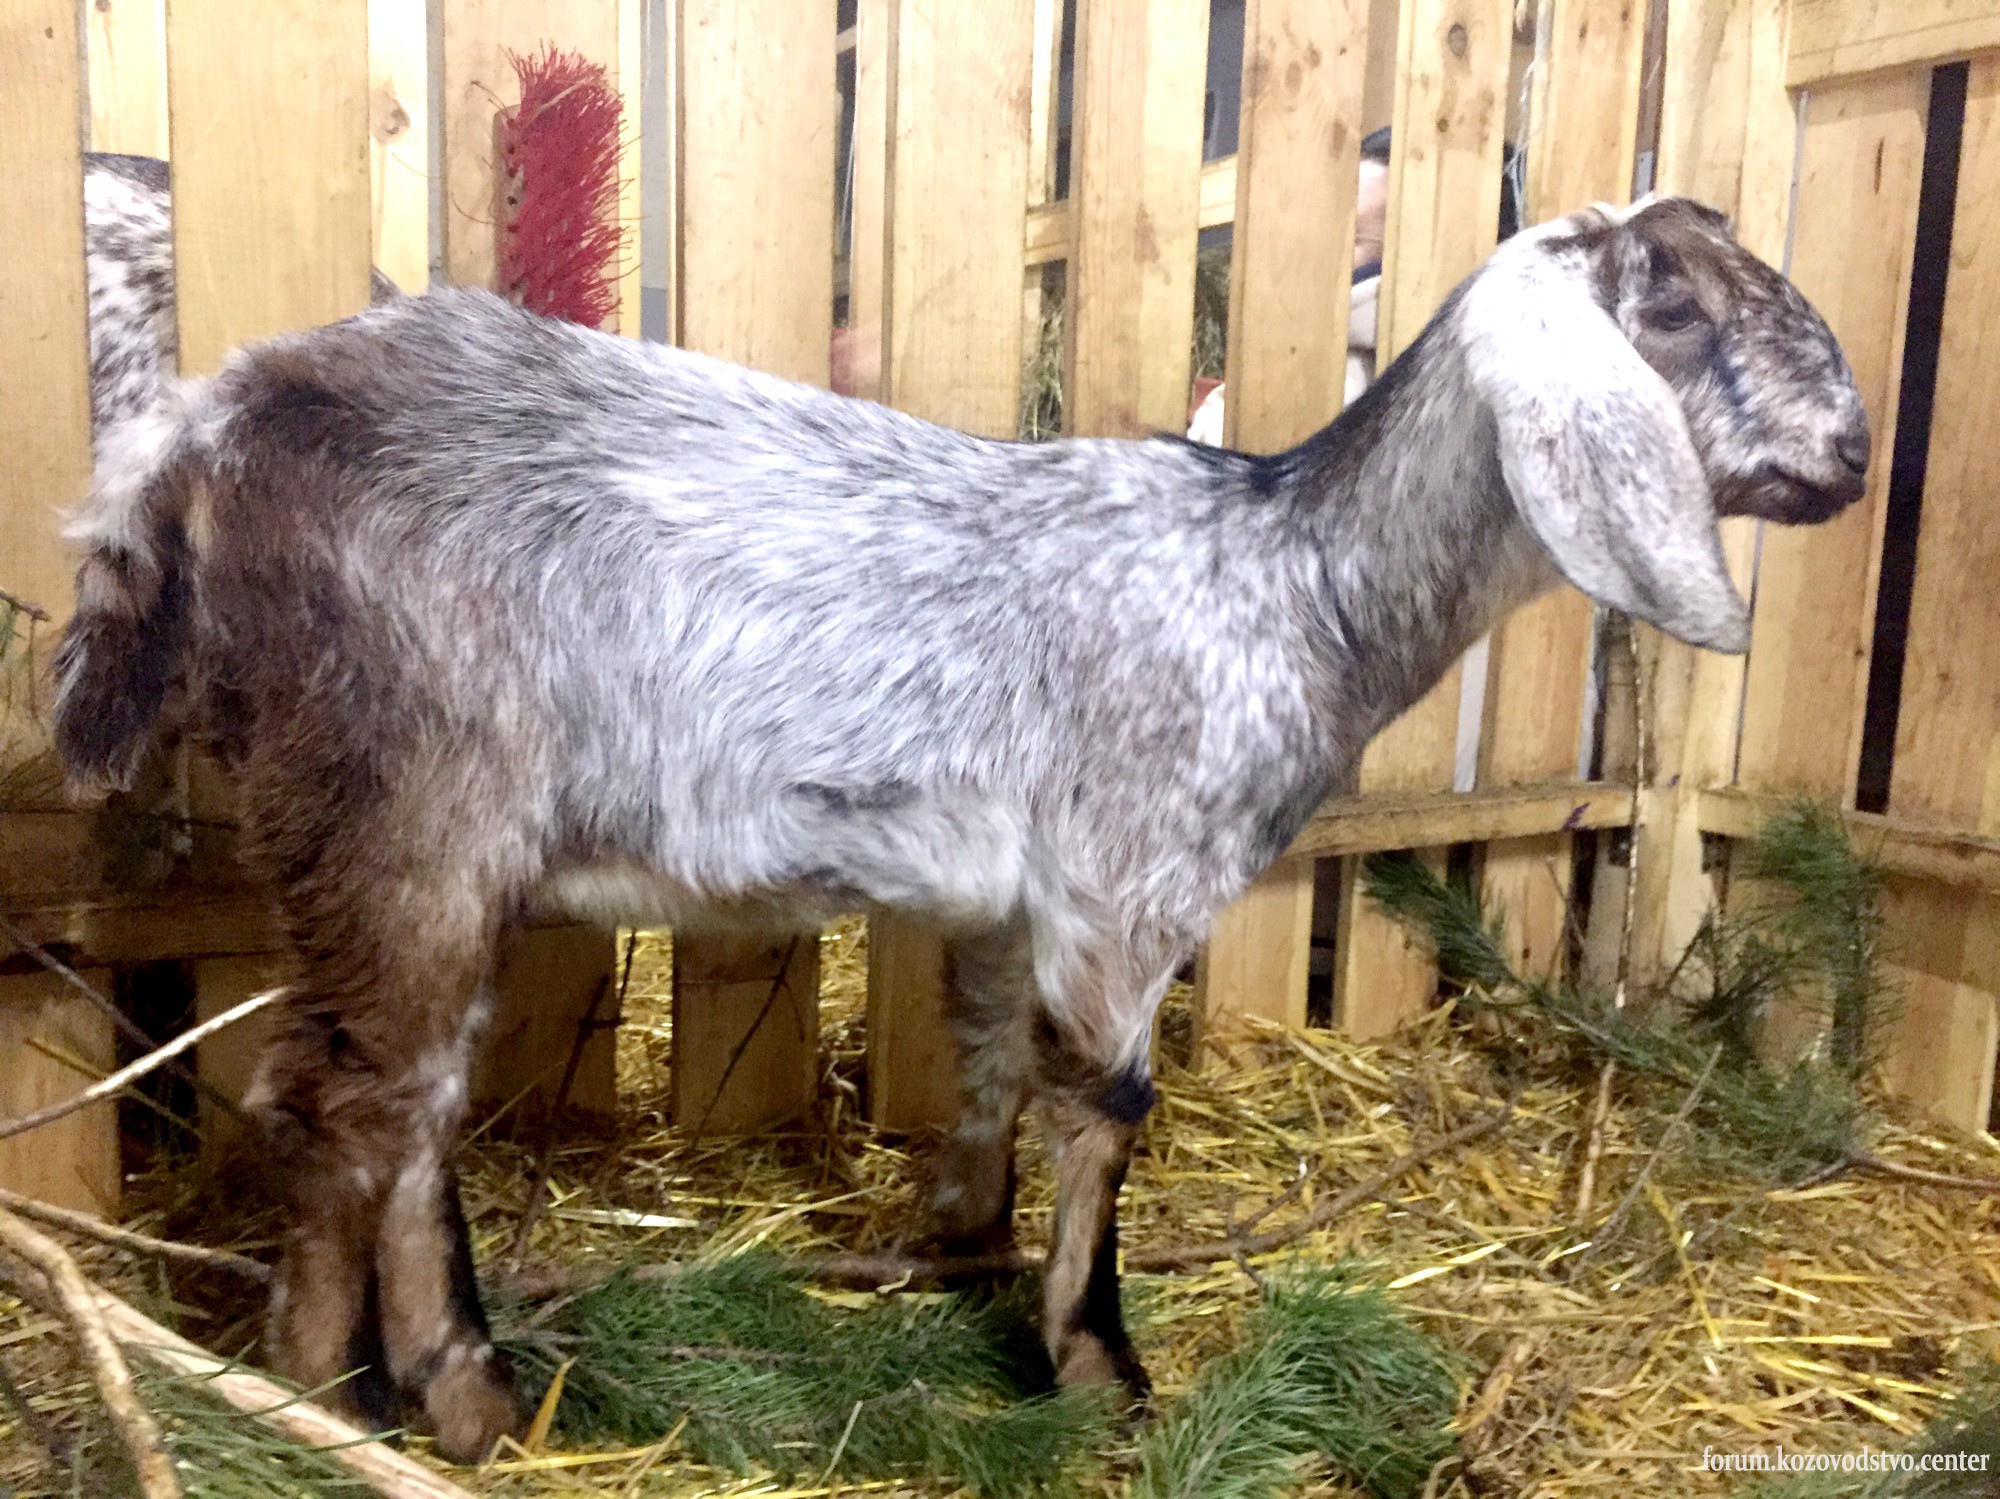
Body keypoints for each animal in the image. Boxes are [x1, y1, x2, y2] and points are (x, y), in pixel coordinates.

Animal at [49, 196, 1869, 1460]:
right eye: (1677, 304)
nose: (1853, 452)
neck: (1294, 587)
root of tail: (207, 426)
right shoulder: (1135, 876)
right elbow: (1109, 1106)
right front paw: (1103, 1362)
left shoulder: (1015, 899)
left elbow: (992, 1056)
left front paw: (961, 1240)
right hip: (397, 789)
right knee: (342, 1101)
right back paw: (328, 1400)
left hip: (400, 832)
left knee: (407, 1103)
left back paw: (453, 1382)